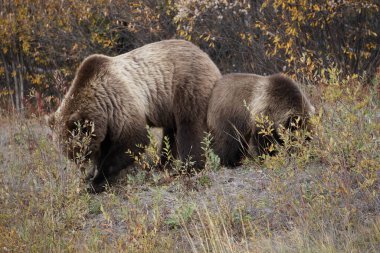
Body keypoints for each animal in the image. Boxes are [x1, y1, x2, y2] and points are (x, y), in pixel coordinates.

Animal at [50, 39, 223, 191]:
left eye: (79, 150)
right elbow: (107, 146)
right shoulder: (107, 121)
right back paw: (161, 164)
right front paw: (92, 175)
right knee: (170, 134)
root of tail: (207, 58)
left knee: (190, 128)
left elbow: (133, 139)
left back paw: (187, 169)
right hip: (169, 105)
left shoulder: (118, 102)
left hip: (187, 87)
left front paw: (96, 181)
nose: (83, 169)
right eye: (69, 154)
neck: (101, 104)